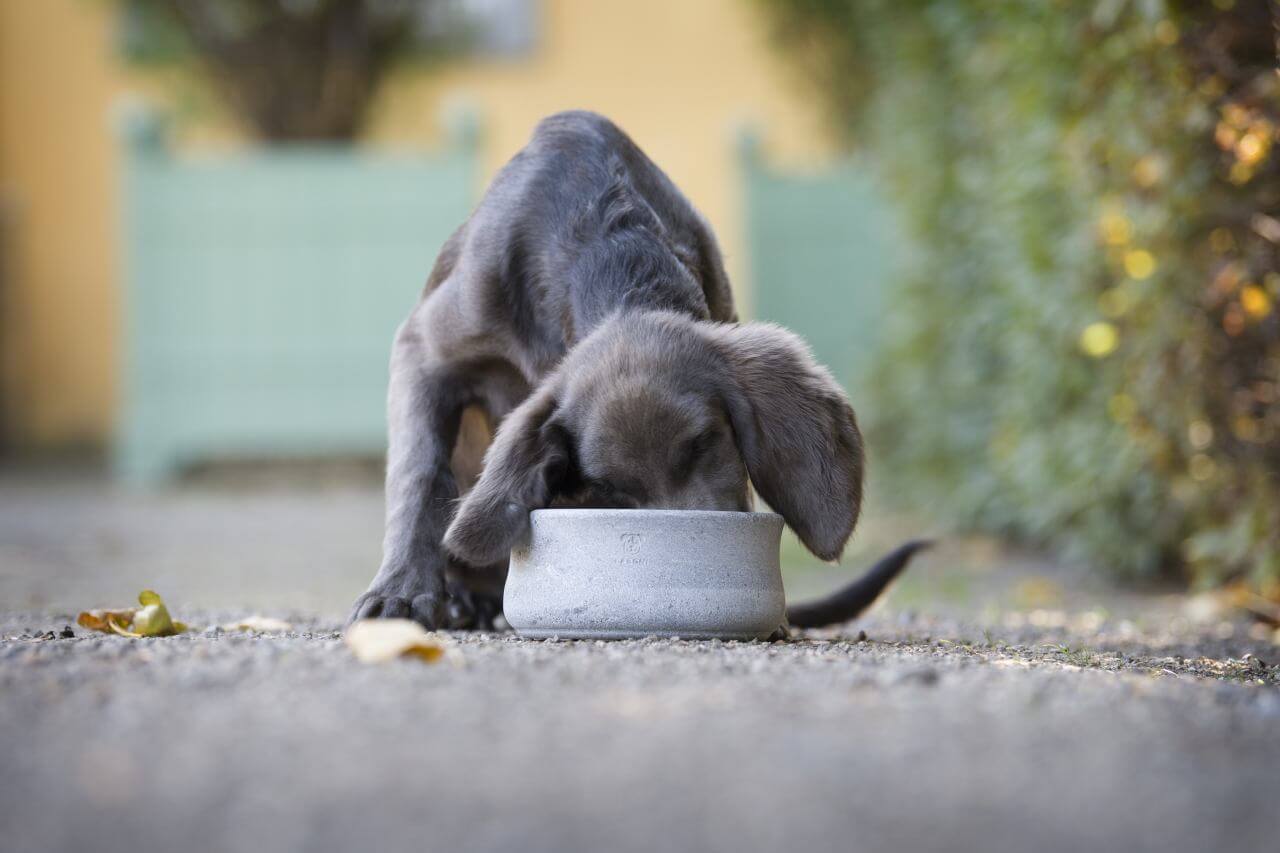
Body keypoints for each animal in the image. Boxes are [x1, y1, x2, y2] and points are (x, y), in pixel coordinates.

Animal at [348, 111, 931, 630]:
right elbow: (419, 473)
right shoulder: (424, 349)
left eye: (706, 443)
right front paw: (402, 592)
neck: (609, 240)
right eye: (614, 489)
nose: (694, 567)